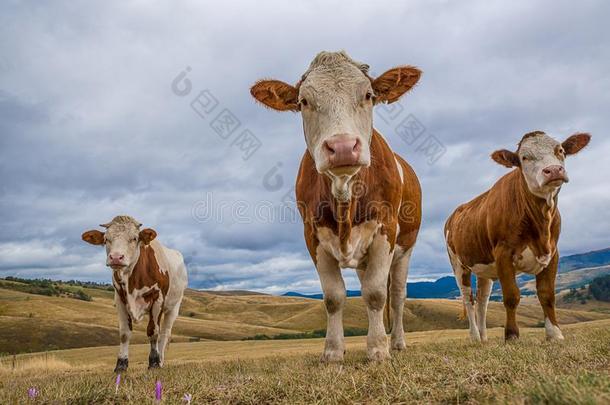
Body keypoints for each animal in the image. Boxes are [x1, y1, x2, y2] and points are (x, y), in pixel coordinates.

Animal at [82, 216, 188, 370]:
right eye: (106, 239)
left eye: (134, 238)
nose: (116, 257)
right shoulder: (120, 299)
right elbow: (124, 333)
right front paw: (121, 364)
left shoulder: (157, 298)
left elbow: (153, 332)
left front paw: (154, 362)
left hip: (173, 307)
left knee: (164, 333)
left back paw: (161, 360)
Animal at [249, 51, 420, 362]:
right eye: (304, 101)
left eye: (368, 95)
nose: (342, 147)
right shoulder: (312, 236)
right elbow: (334, 297)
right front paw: (333, 351)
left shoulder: (386, 229)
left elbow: (377, 293)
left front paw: (378, 349)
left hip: (406, 247)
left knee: (398, 295)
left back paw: (398, 342)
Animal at [442, 131, 588, 342]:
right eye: (524, 157)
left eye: (560, 150)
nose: (553, 170)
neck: (540, 225)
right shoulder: (503, 252)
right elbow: (511, 296)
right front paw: (511, 335)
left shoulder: (553, 253)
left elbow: (547, 295)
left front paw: (555, 334)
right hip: (458, 264)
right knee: (468, 299)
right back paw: (475, 337)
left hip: (484, 267)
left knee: (482, 300)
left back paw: (484, 339)